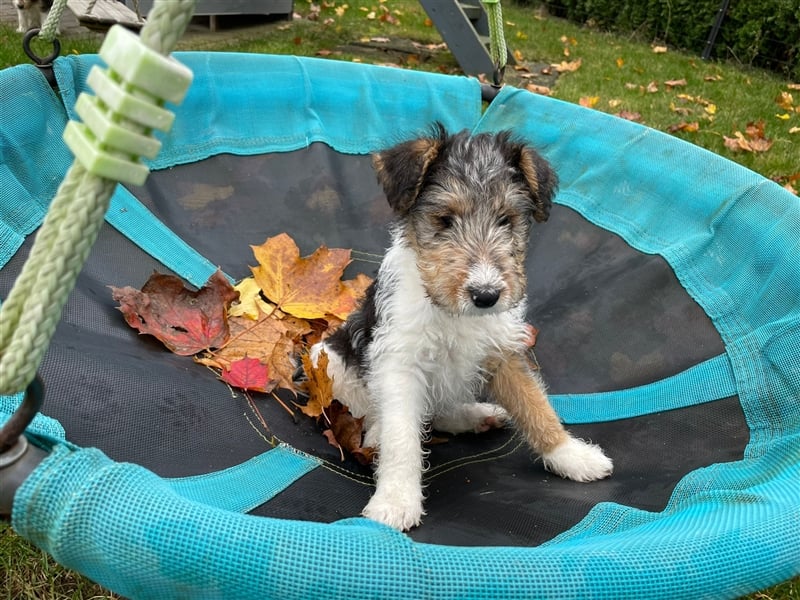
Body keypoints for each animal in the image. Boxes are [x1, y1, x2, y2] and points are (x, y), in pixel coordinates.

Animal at [310, 125, 612, 528]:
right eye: (445, 219)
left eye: (506, 219)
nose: (486, 295)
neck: (453, 314)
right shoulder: (399, 362)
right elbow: (402, 436)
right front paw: (396, 500)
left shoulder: (504, 351)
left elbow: (535, 405)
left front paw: (571, 455)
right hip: (328, 359)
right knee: (381, 414)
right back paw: (376, 434)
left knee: (439, 411)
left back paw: (478, 415)